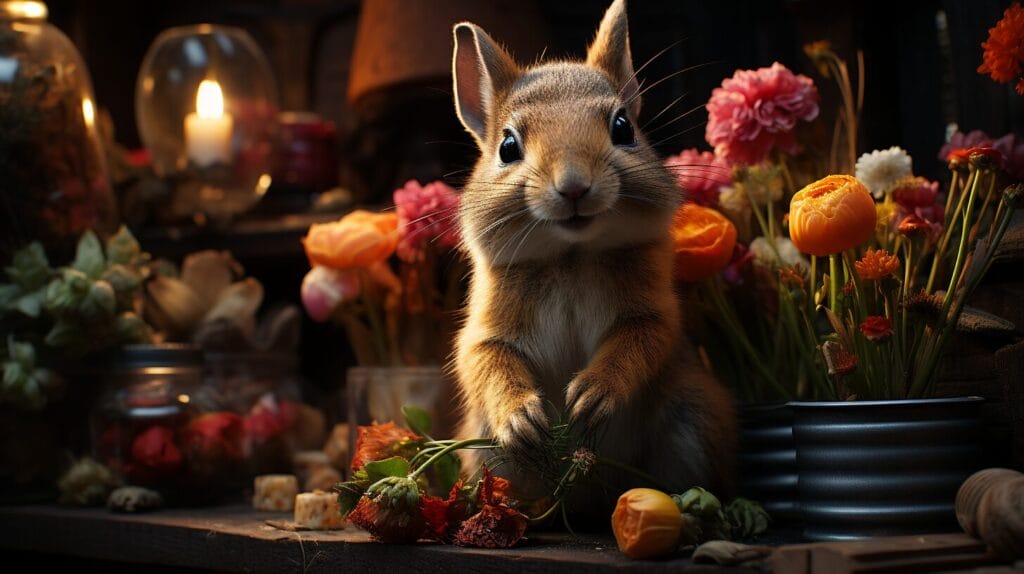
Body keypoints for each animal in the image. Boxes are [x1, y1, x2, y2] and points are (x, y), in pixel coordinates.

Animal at [452, 0, 733, 509]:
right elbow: (487, 361)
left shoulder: (650, 316)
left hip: (690, 421)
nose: (574, 186)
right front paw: (523, 418)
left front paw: (591, 395)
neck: (571, 256)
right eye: (507, 146)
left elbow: (639, 343)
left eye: (623, 127)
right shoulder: (487, 332)